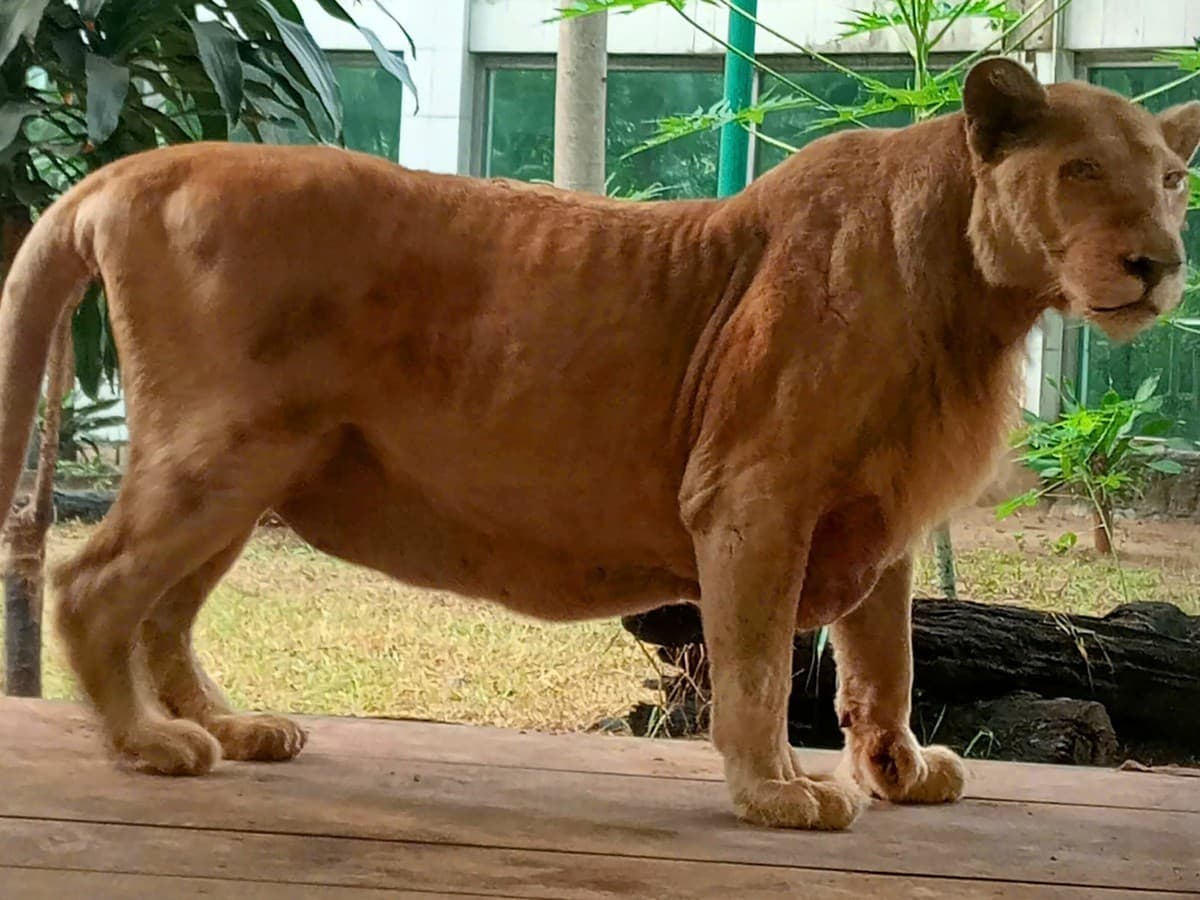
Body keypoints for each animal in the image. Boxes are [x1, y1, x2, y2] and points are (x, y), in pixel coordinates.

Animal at [0, 58, 1195, 832]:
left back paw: (234, 728)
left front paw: (895, 772)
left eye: (1172, 178)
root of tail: (131, 171)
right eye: (1083, 171)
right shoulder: (751, 496)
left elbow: (884, 662)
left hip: (255, 473)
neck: (978, 301)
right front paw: (778, 794)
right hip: (220, 452)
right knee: (95, 586)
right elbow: (760, 665)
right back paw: (150, 747)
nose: (1161, 262)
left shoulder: (882, 518)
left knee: (165, 612)